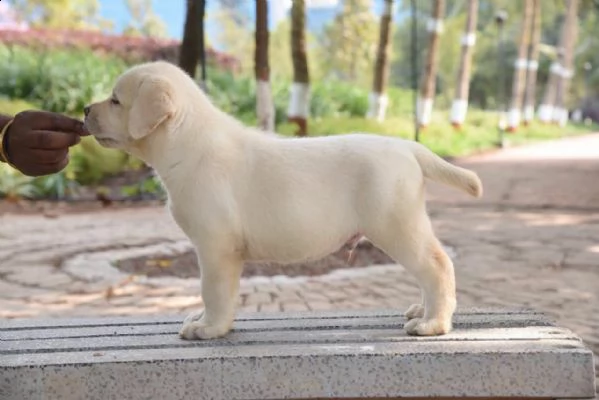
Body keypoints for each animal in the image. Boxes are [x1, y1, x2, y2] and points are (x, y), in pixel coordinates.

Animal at [84, 61, 486, 340]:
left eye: (116, 100)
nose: (86, 109)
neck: (189, 142)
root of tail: (408, 146)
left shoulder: (216, 247)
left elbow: (213, 291)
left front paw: (209, 328)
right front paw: (204, 321)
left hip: (395, 224)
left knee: (437, 265)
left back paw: (433, 323)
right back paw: (423, 311)